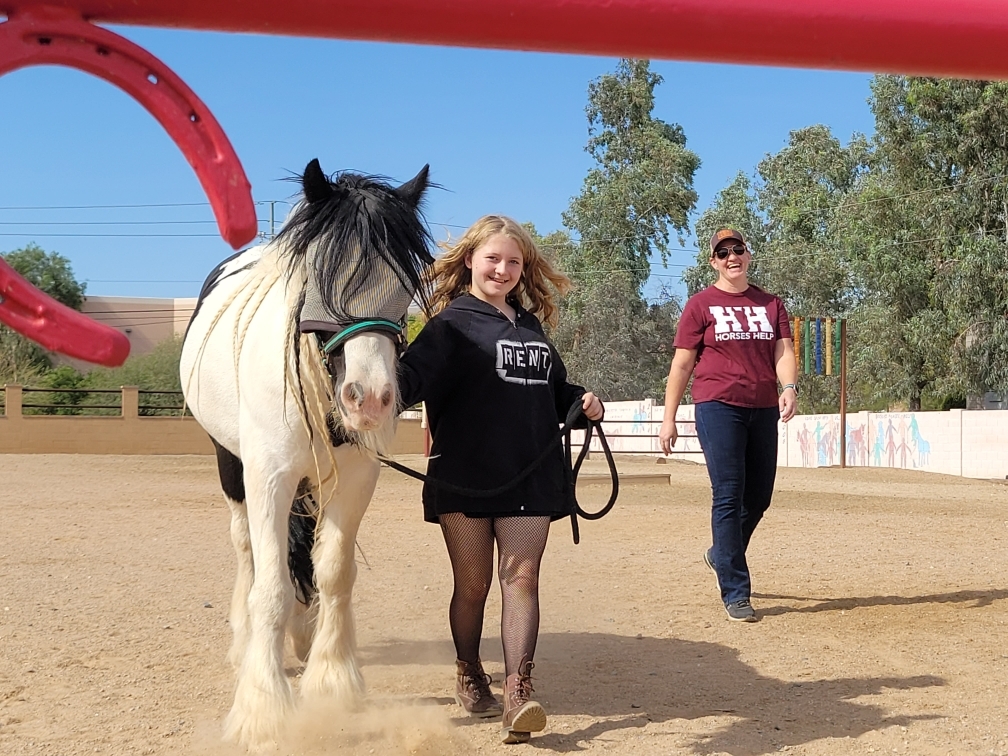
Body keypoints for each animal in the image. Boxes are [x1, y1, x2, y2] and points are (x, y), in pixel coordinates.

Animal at [180, 158, 434, 750]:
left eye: (403, 283)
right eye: (320, 279)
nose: (371, 398)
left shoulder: (356, 477)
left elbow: (334, 571)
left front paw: (334, 681)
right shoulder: (267, 475)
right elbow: (270, 586)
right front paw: (262, 707)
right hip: (231, 466)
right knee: (248, 551)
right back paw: (247, 641)